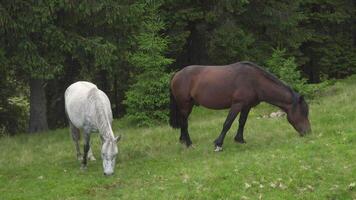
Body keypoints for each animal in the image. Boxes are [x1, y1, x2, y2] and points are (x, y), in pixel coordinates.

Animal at [170, 61, 312, 152]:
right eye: (303, 112)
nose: (308, 132)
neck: (255, 81)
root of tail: (177, 74)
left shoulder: (246, 106)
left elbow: (242, 122)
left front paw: (240, 140)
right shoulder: (237, 104)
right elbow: (227, 123)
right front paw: (218, 144)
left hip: (188, 105)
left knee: (183, 122)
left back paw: (183, 141)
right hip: (185, 104)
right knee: (184, 123)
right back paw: (189, 144)